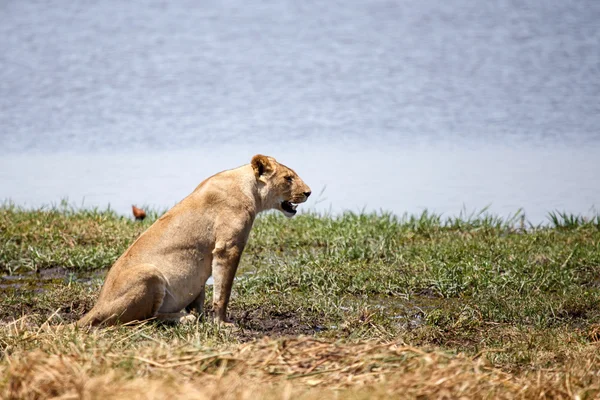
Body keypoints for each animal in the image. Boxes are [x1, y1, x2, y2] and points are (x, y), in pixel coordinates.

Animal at [77, 155, 312, 326]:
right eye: (288, 178)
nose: (308, 192)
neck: (249, 187)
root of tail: (96, 307)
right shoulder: (228, 248)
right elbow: (223, 292)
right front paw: (222, 323)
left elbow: (200, 295)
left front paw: (203, 318)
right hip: (148, 273)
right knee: (144, 319)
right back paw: (183, 318)